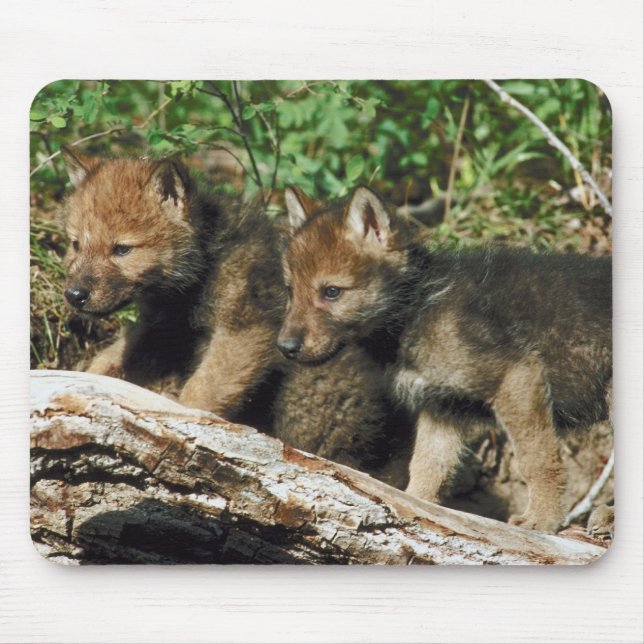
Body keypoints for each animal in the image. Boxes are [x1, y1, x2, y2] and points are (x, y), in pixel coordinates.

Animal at [277, 185, 612, 533]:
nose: (285, 347)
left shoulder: (518, 377)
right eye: (290, 291)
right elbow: (427, 467)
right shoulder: (442, 406)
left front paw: (543, 520)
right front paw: (412, 509)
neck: (416, 308)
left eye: (331, 292)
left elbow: (537, 460)